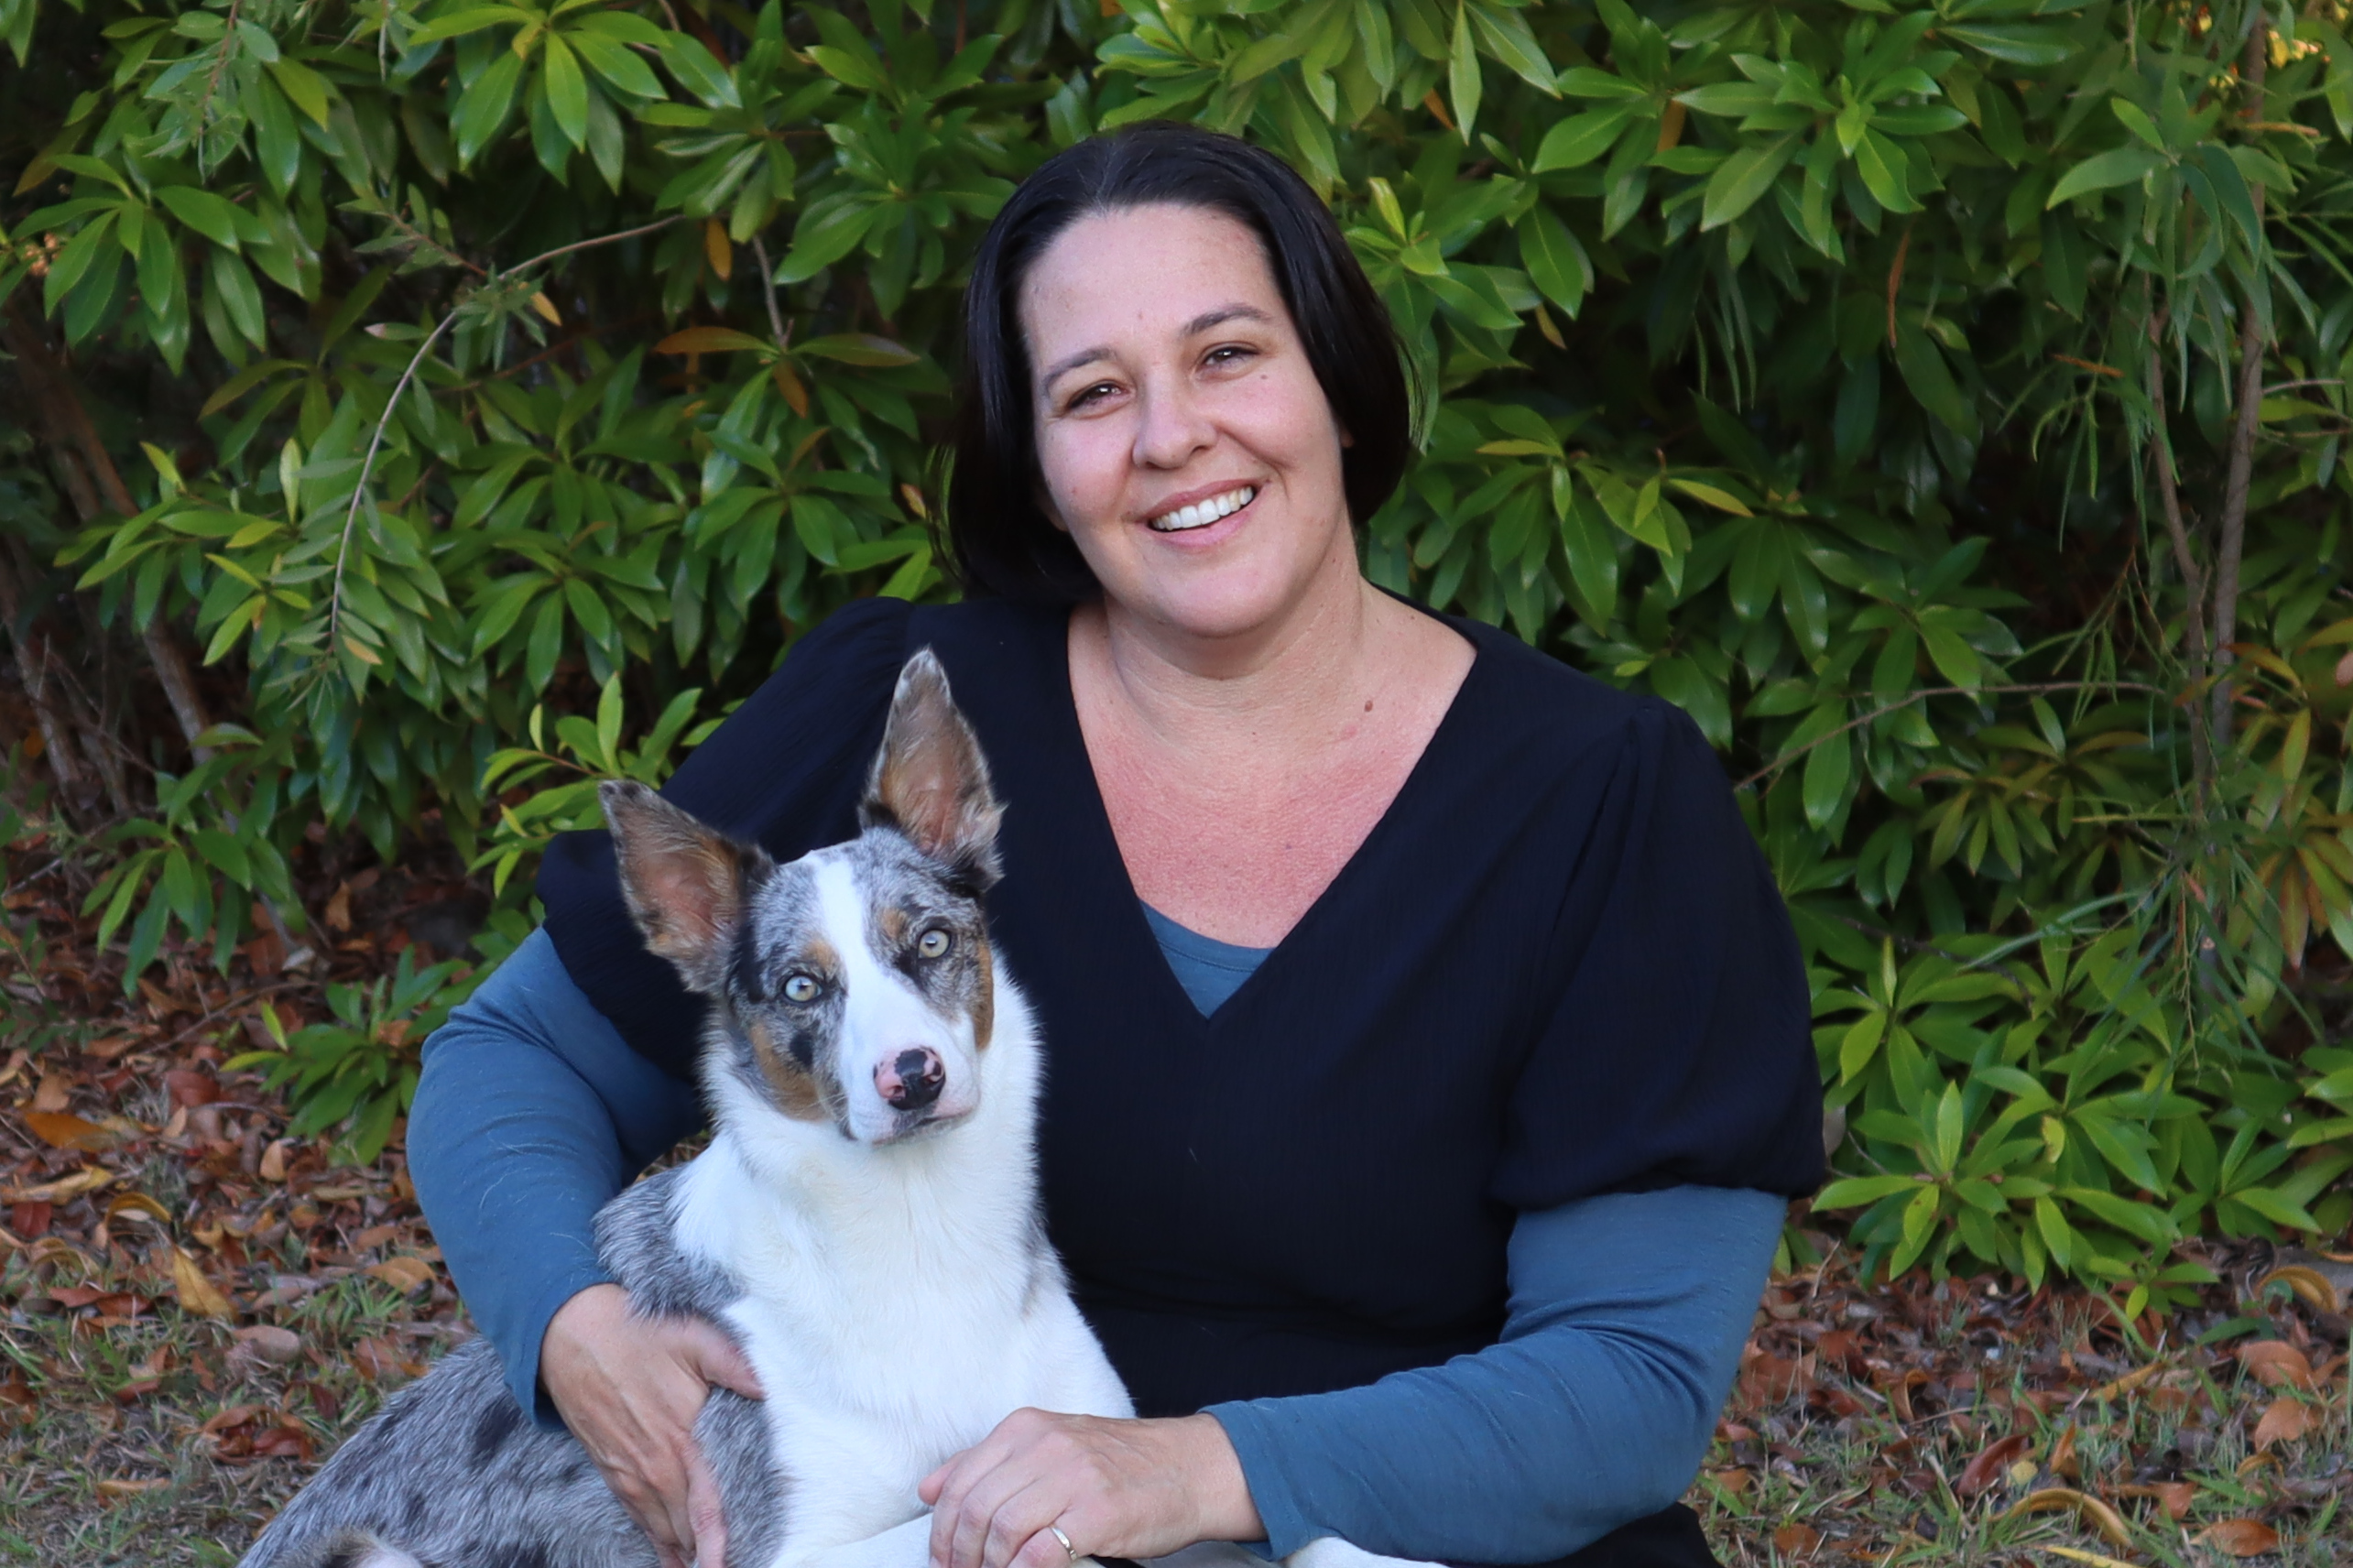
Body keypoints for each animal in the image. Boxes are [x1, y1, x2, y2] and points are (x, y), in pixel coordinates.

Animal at [243, 640, 1143, 1553]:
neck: (922, 1232)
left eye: (930, 942)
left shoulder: (1080, 1431)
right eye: (799, 986)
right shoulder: (789, 1547)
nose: (913, 1078)